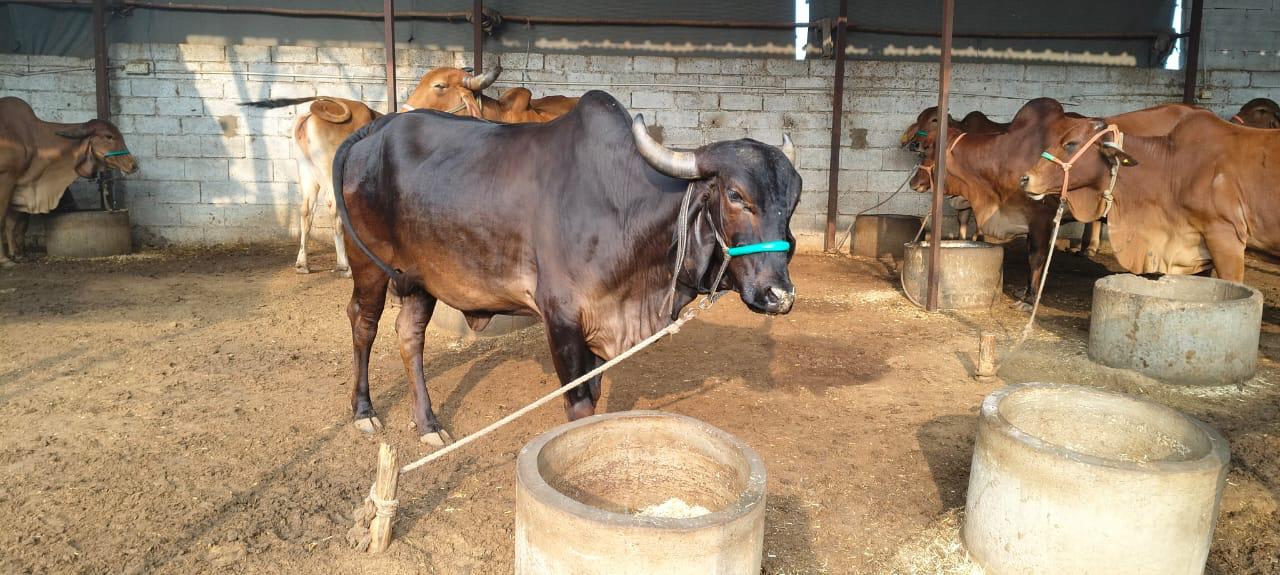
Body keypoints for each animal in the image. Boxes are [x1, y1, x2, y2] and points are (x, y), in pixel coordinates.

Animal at [0, 97, 138, 266]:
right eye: (109, 136)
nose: (133, 165)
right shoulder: (6, 180)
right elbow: (3, 221)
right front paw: (4, 259)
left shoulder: (19, 184)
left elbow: (15, 223)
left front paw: (18, 255)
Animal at [330, 91, 800, 445]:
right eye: (736, 195)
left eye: (793, 200)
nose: (778, 295)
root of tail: (374, 129)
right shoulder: (561, 317)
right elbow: (581, 403)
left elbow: (595, 390)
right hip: (369, 265)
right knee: (363, 323)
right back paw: (363, 410)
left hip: (421, 279)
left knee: (409, 336)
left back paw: (428, 424)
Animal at [908, 99, 1197, 307]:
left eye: (931, 149)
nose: (914, 181)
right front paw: (1026, 291)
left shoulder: (1041, 217)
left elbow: (1036, 257)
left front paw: (1030, 298)